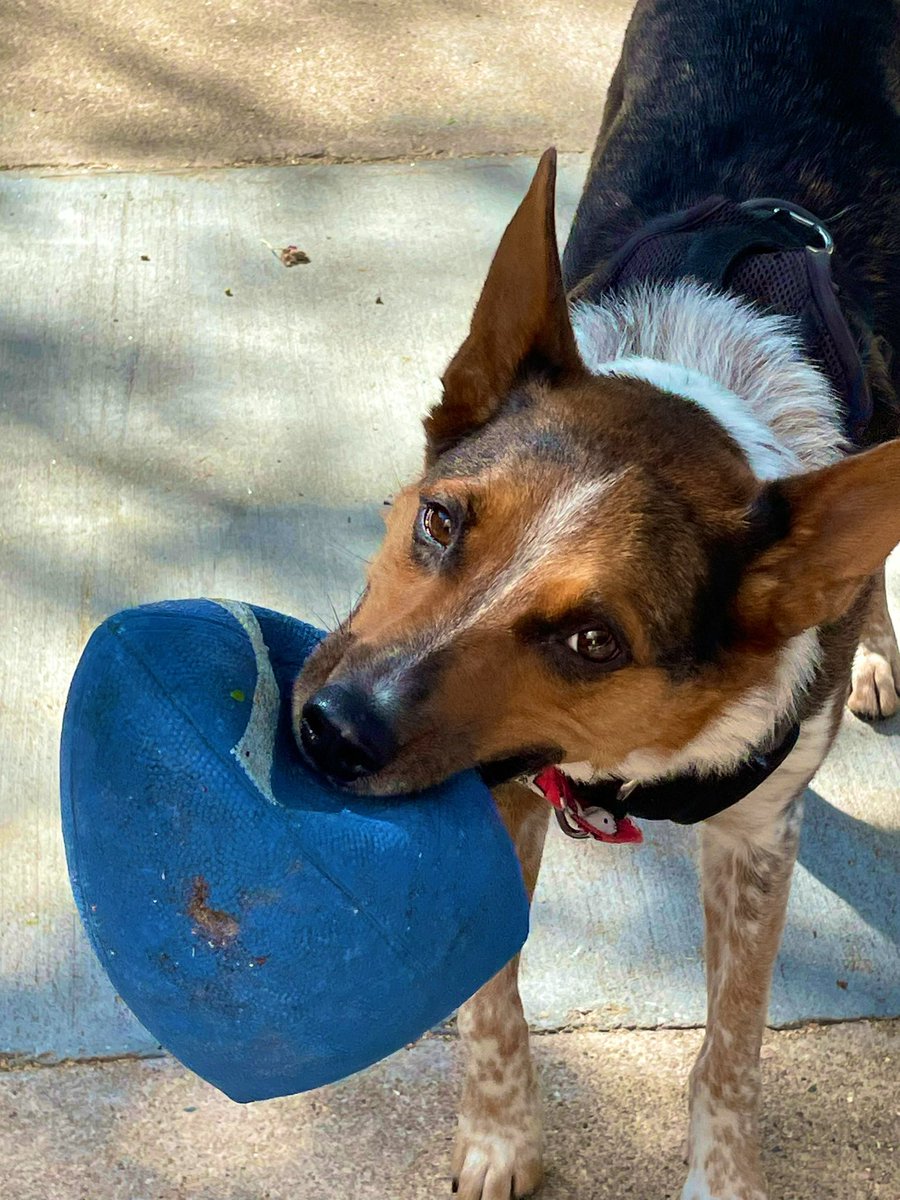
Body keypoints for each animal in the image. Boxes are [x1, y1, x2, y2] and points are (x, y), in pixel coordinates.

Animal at [294, 4, 900, 1195]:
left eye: (592, 639)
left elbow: (733, 1043)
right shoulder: (496, 789)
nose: (329, 732)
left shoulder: (758, 839)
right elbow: (490, 1001)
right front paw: (500, 1140)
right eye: (442, 521)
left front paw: (723, 1179)